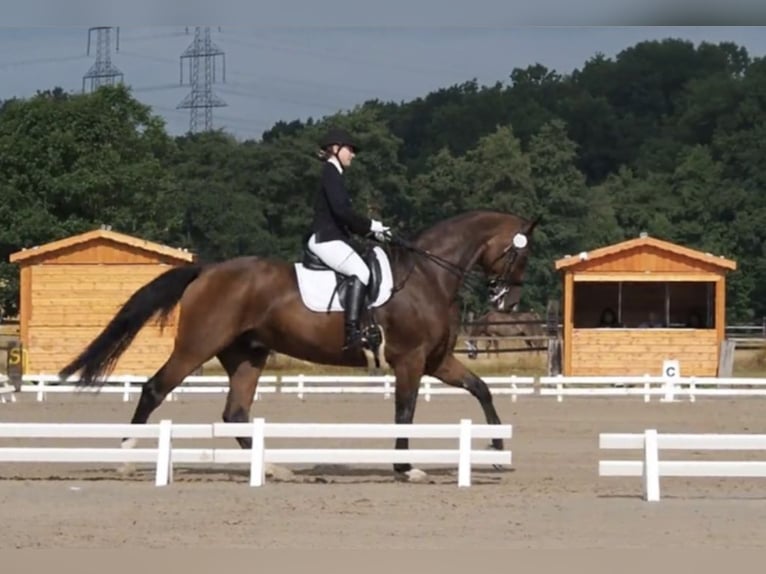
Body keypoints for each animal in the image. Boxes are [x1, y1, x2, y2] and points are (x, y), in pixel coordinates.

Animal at [58, 209, 540, 484]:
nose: (508, 302)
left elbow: (481, 389)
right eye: (520, 253)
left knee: (236, 414)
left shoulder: (437, 359)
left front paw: (497, 452)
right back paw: (126, 459)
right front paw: (406, 468)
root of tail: (207, 270)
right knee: (154, 389)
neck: (426, 276)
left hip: (247, 355)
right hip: (196, 347)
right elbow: (405, 412)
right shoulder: (411, 360)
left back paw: (274, 468)